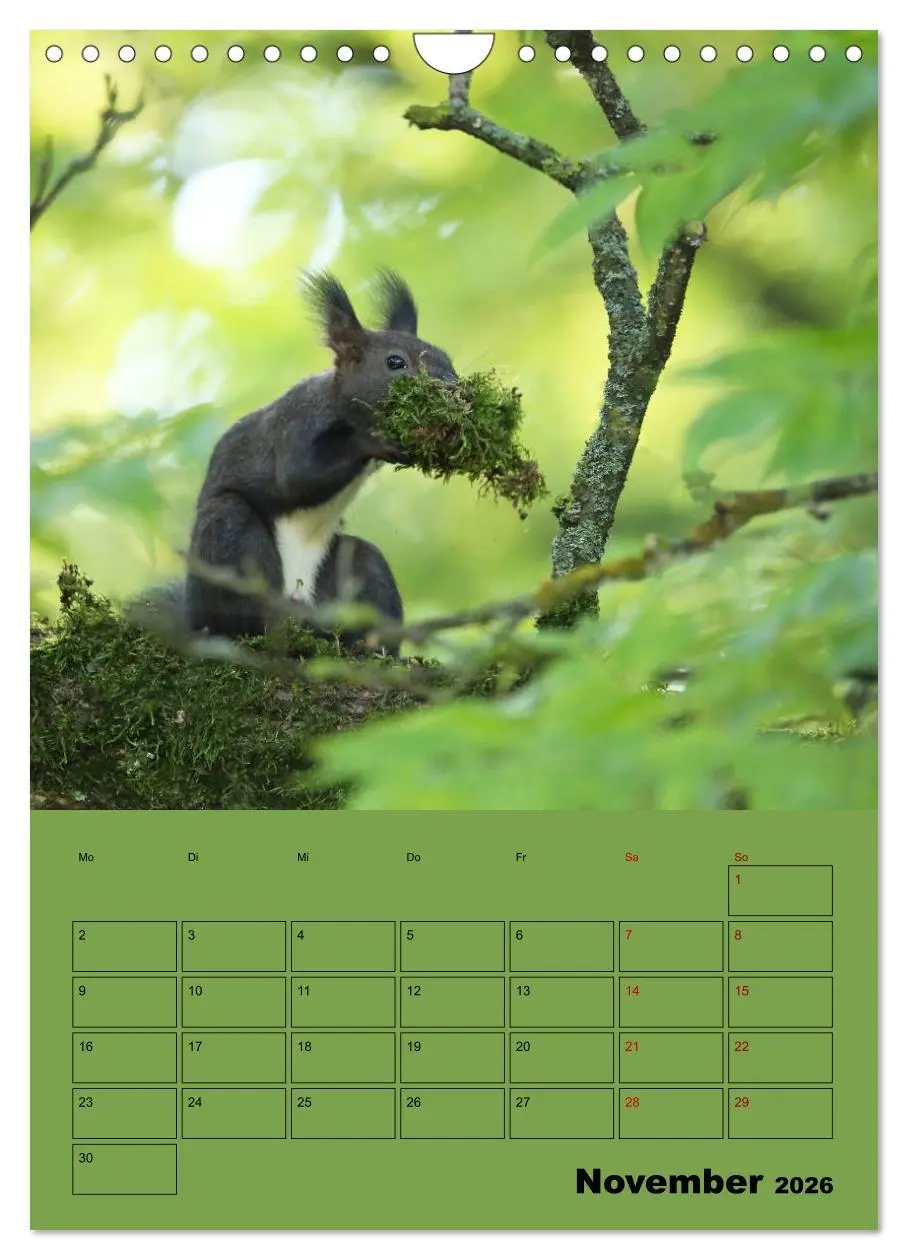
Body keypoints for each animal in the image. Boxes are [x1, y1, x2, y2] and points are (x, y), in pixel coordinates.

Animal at [167, 271, 457, 649]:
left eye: (447, 358)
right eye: (396, 362)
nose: (456, 388)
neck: (338, 405)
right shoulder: (293, 428)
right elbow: (297, 477)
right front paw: (379, 438)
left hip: (355, 572)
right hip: (227, 542)